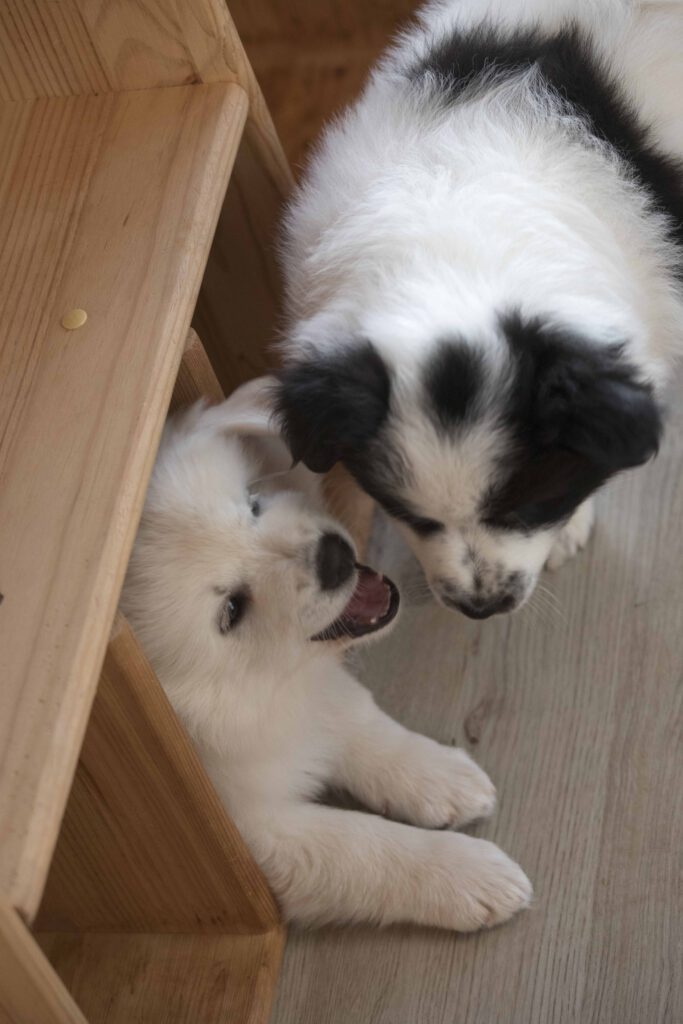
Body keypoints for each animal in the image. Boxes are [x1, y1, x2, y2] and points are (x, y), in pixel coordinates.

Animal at [121, 379, 531, 929]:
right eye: (232, 610)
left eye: (253, 503)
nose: (334, 556)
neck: (260, 691)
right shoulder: (261, 836)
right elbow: (366, 848)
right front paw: (472, 875)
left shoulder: (318, 695)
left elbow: (365, 726)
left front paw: (443, 778)